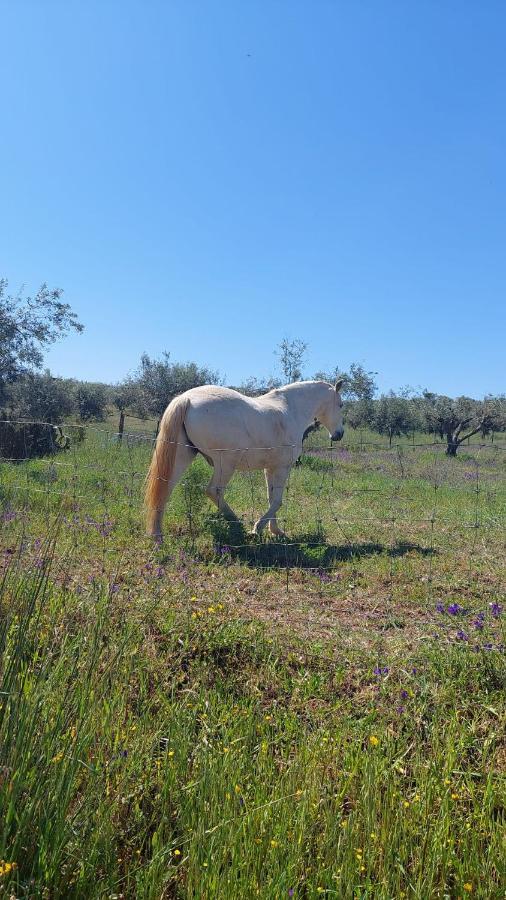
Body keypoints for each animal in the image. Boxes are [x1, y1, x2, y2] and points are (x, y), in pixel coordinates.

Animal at [144, 380, 346, 540]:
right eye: (341, 404)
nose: (339, 434)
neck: (290, 410)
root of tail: (186, 398)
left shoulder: (270, 469)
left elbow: (271, 498)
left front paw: (275, 531)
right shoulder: (282, 468)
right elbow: (277, 501)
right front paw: (258, 528)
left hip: (182, 456)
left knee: (164, 489)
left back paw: (157, 535)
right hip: (225, 464)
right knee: (213, 491)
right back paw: (236, 523)